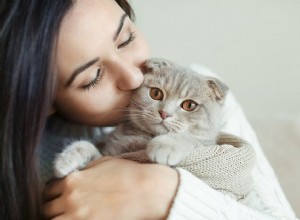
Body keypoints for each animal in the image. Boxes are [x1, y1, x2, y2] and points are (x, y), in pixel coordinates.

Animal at [54, 57, 229, 178]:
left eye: (189, 105)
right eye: (156, 93)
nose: (164, 113)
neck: (141, 138)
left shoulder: (205, 144)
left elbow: (189, 139)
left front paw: (164, 146)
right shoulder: (106, 156)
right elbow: (85, 146)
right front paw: (66, 159)